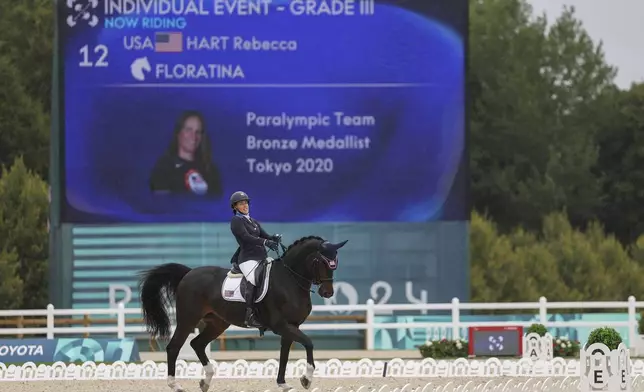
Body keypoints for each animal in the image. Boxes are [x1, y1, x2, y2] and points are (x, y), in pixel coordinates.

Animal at [136, 236, 348, 392]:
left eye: (335, 262)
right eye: (321, 261)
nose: (327, 293)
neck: (289, 280)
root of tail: (188, 273)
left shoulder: (291, 326)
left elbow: (285, 354)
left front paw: (283, 383)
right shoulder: (281, 325)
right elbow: (309, 343)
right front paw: (306, 379)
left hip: (217, 323)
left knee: (197, 343)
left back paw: (206, 381)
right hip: (188, 319)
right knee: (174, 347)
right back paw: (175, 385)